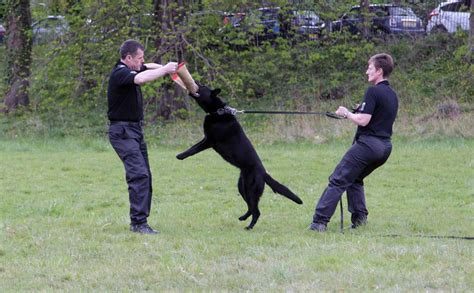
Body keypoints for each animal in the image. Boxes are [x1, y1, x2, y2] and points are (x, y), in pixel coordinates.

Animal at [176, 84, 302, 228]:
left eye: (202, 87)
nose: (196, 83)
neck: (218, 111)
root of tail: (264, 173)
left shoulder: (210, 141)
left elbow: (193, 149)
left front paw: (180, 156)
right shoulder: (207, 139)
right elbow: (194, 146)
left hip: (249, 189)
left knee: (256, 211)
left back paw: (249, 227)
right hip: (242, 187)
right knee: (251, 208)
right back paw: (243, 218)